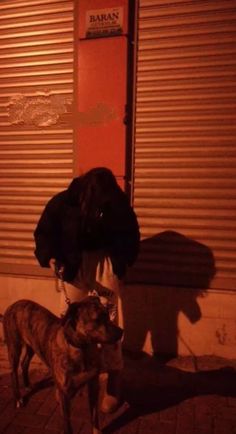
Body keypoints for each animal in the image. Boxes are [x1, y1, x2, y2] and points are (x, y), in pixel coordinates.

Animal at [3, 296, 123, 434]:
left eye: (108, 314)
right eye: (97, 319)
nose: (121, 332)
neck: (82, 350)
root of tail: (14, 304)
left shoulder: (93, 385)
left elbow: (94, 415)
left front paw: (96, 431)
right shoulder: (64, 394)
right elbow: (67, 421)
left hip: (32, 345)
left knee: (24, 363)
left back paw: (27, 385)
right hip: (14, 346)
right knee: (13, 372)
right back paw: (17, 398)